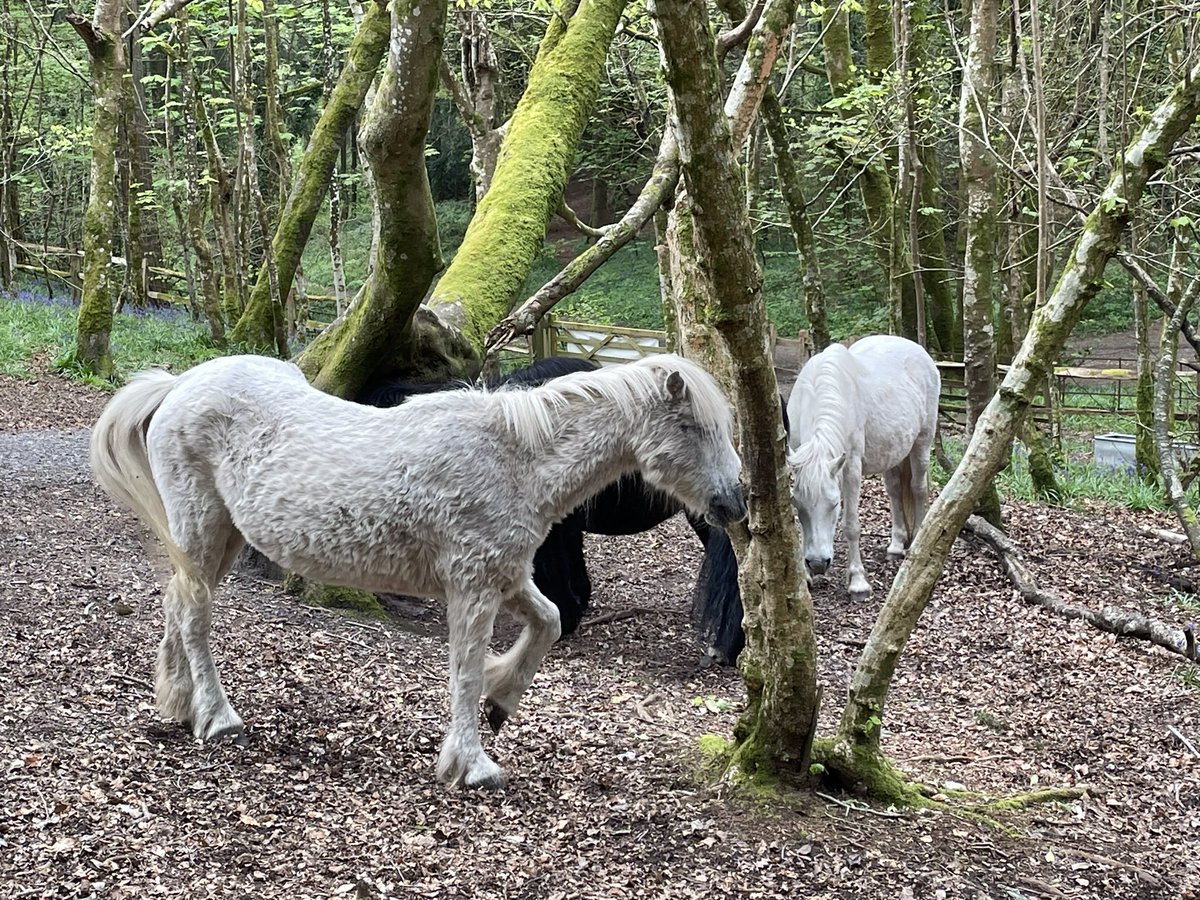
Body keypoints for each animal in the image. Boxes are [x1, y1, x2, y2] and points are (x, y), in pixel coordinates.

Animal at [787, 336, 945, 600]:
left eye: (834, 505)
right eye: (797, 505)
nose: (817, 564)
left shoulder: (851, 467)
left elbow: (851, 525)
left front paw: (858, 583)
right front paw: (805, 577)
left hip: (922, 442)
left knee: (918, 488)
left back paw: (916, 542)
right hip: (892, 453)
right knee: (894, 491)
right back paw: (896, 545)